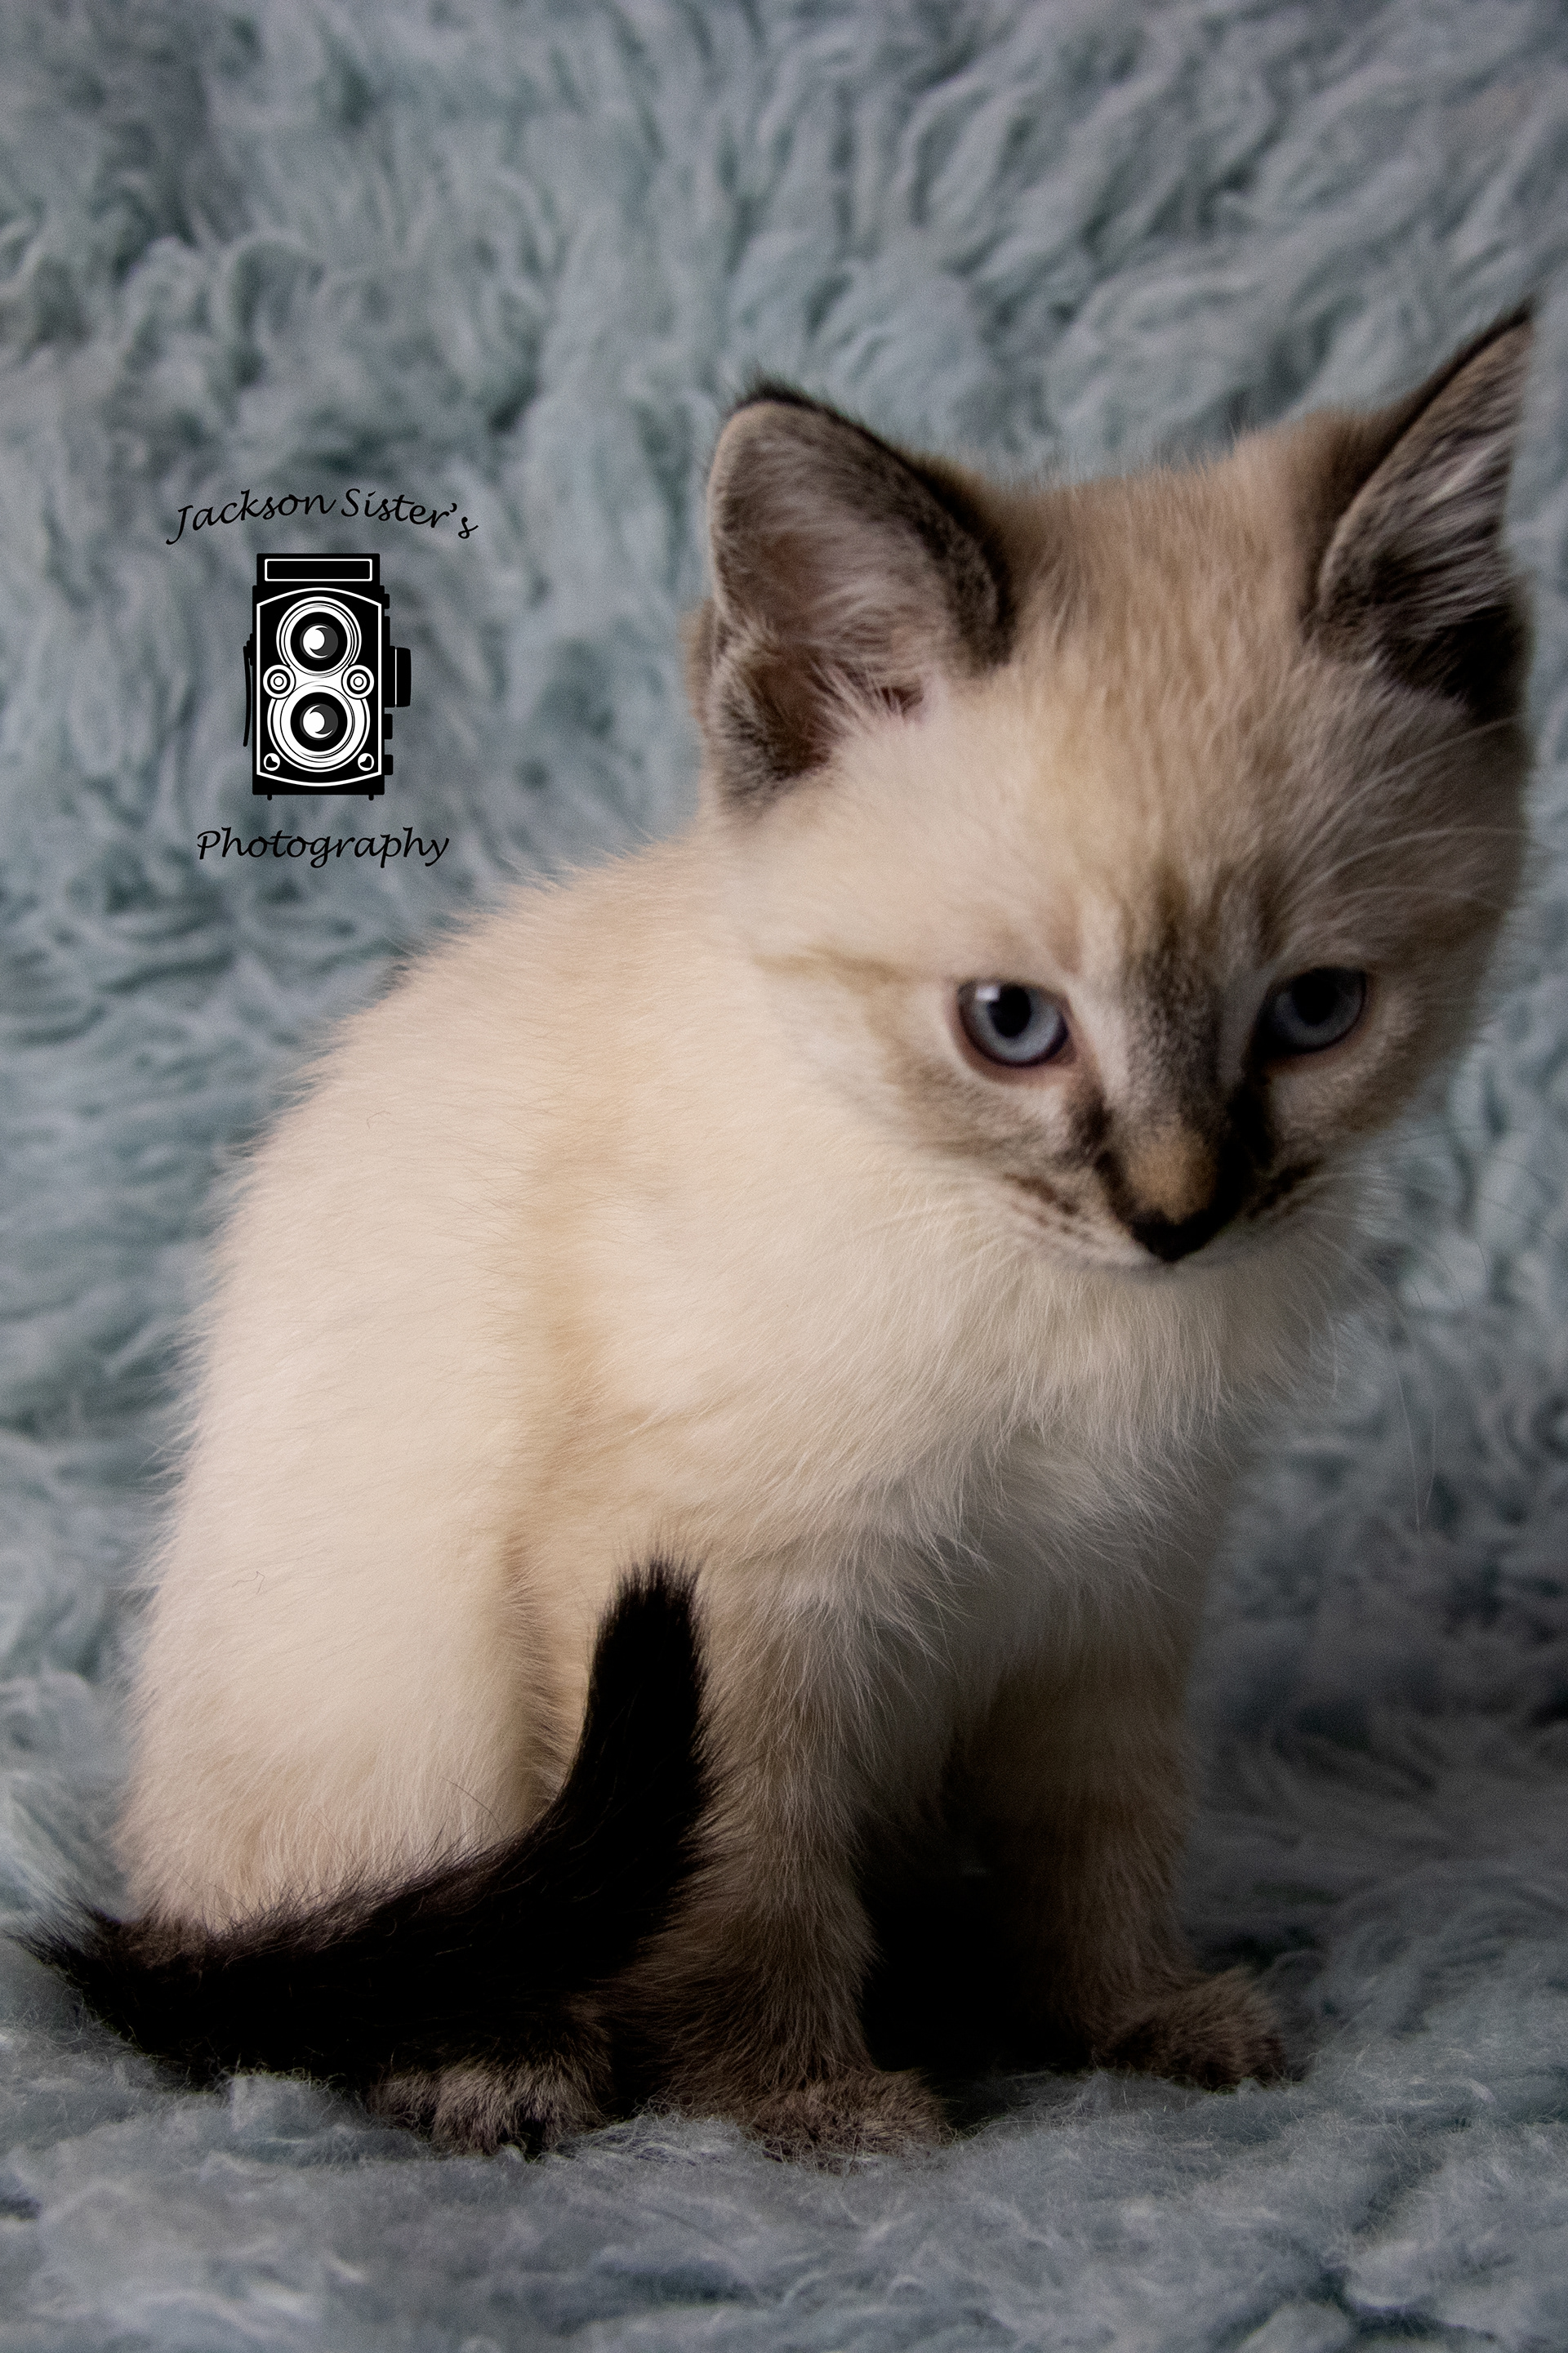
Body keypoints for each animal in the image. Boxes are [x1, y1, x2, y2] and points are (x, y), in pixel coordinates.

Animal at [38, 306, 1534, 2161]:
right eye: (1011, 1027)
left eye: (1316, 1014)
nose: (1178, 1217)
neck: (1050, 1291)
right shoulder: (727, 1595)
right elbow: (748, 1879)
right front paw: (805, 2106)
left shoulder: (1116, 1584)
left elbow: (1102, 1843)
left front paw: (1135, 2020)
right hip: (408, 1708)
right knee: (355, 1958)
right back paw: (497, 2063)